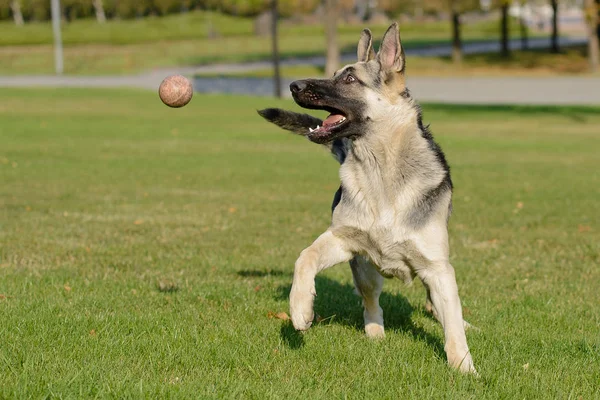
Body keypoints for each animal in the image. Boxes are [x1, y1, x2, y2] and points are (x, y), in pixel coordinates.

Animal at [258, 22, 478, 376]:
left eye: (349, 79)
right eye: (333, 74)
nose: (293, 85)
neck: (381, 174)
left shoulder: (437, 268)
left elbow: (453, 325)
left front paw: (463, 366)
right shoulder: (342, 241)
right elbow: (304, 257)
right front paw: (299, 308)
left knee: (439, 306)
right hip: (365, 270)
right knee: (371, 302)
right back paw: (375, 333)